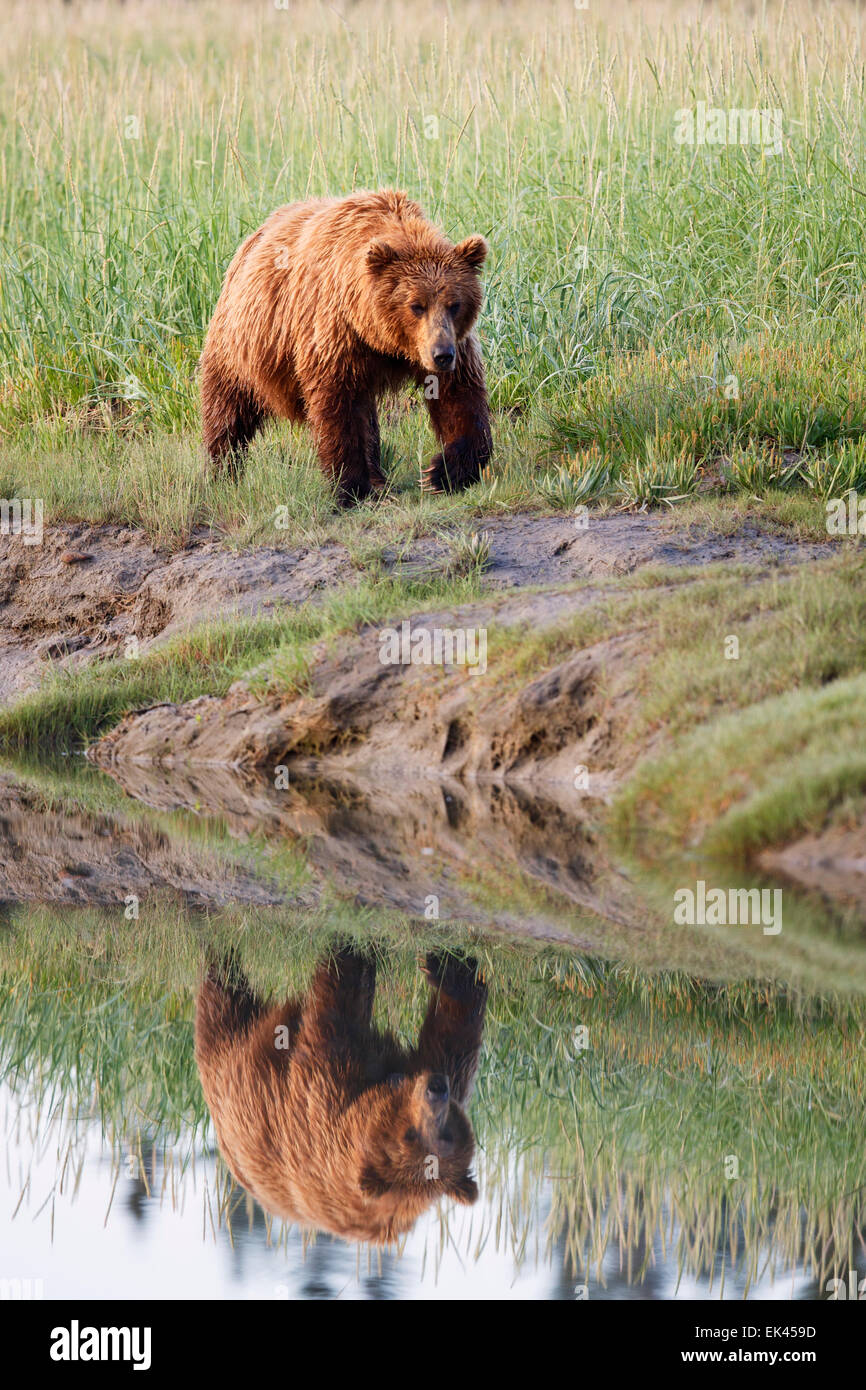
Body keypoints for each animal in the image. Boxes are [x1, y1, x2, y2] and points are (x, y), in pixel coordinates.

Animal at [194, 944, 488, 1245]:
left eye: (437, 1136)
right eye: (413, 1134)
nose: (435, 1089)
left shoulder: (322, 1102)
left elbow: (333, 1011)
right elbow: (451, 1038)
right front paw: (451, 971)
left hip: (230, 1062)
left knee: (221, 1007)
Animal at [199, 189, 492, 505]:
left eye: (454, 304)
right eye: (416, 305)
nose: (441, 355)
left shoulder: (450, 343)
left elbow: (459, 396)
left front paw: (441, 473)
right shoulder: (336, 332)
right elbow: (338, 406)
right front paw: (352, 488)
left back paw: (379, 477)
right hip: (241, 343)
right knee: (228, 408)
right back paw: (221, 473)